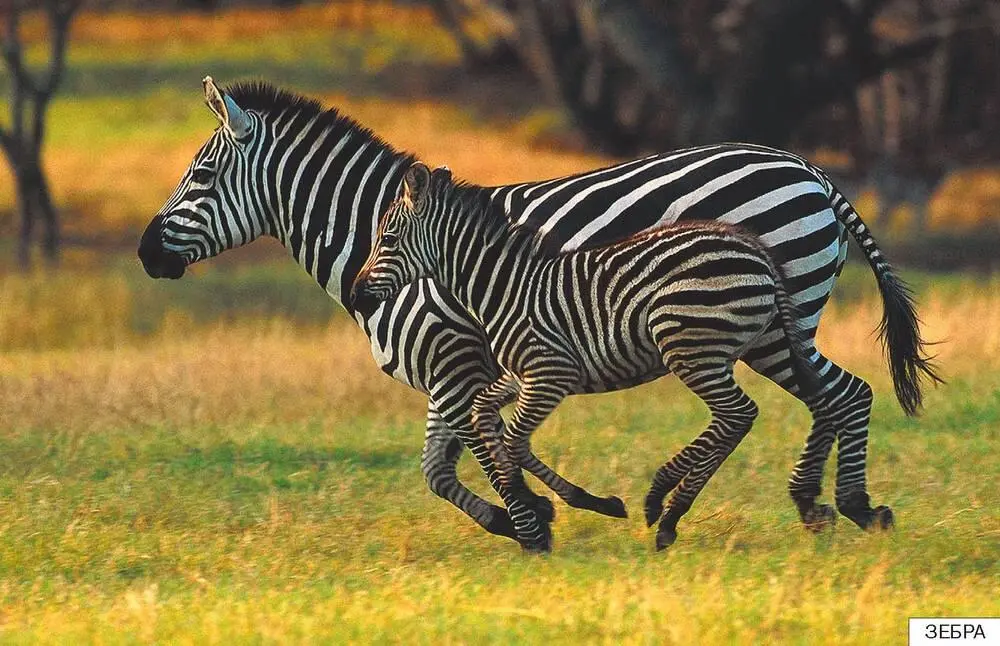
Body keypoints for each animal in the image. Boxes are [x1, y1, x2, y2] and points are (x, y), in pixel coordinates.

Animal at [356, 162, 824, 552]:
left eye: (387, 239)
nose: (358, 294)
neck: (504, 288)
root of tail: (753, 248)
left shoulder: (551, 373)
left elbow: (513, 439)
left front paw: (535, 508)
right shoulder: (519, 376)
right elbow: (484, 415)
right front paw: (531, 501)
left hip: (690, 347)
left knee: (739, 415)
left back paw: (663, 503)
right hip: (716, 350)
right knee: (744, 417)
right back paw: (670, 512)